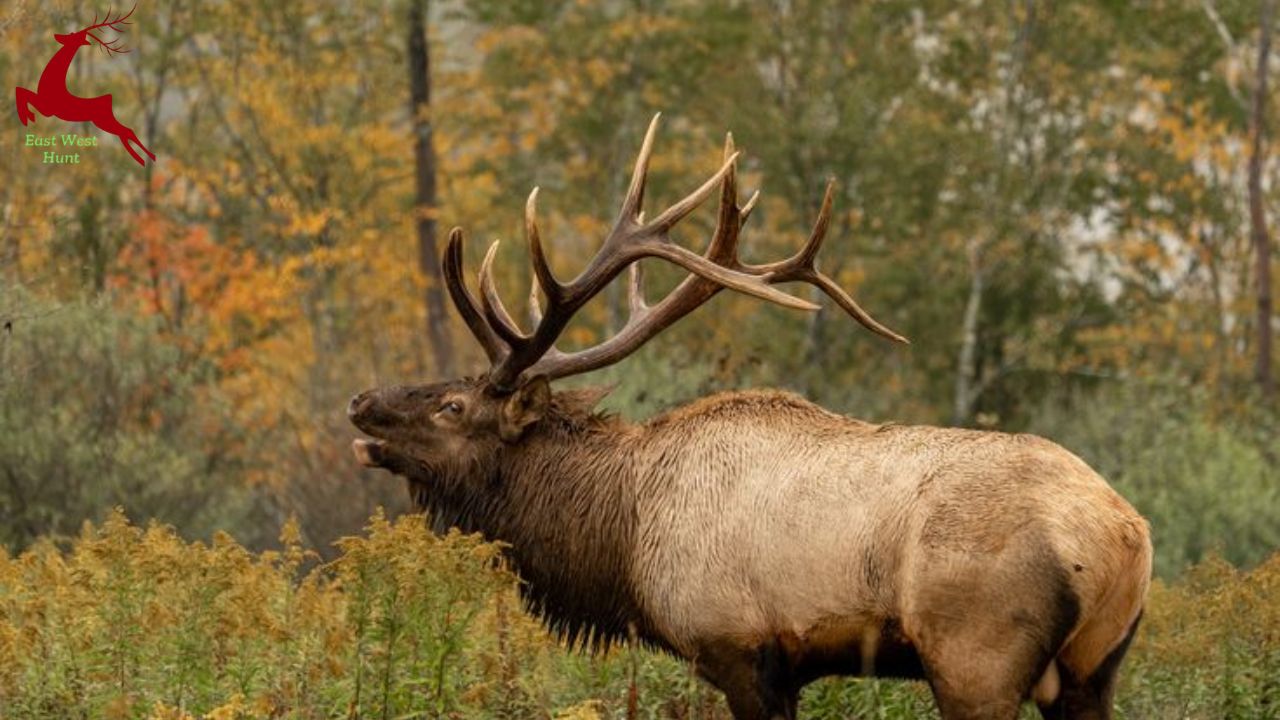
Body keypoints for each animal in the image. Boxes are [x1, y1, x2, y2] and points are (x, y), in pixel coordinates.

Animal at [348, 114, 1152, 712]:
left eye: (453, 405)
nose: (360, 400)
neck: (623, 541)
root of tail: (1124, 536)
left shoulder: (737, 646)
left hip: (974, 653)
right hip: (1093, 669)